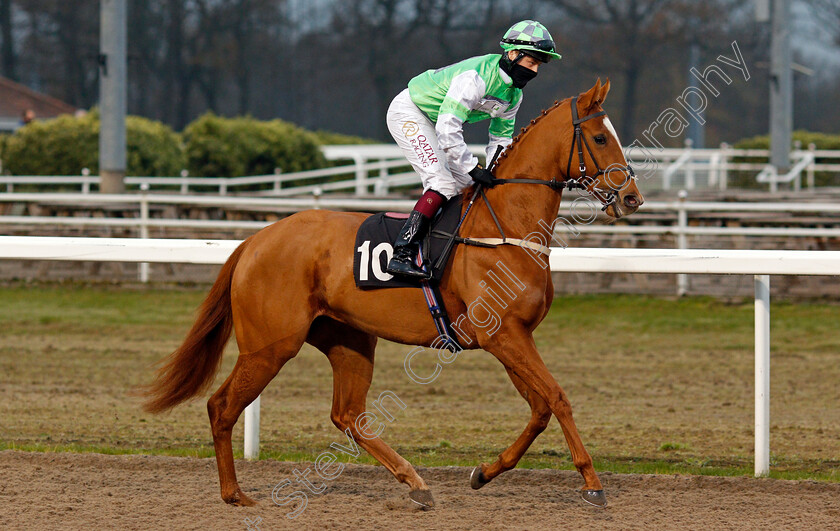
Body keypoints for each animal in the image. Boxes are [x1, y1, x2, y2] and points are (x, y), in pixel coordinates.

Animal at [144, 80, 644, 512]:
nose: (632, 198)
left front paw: (485, 472)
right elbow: (558, 397)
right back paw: (234, 493)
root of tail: (255, 240)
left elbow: (540, 407)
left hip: (348, 340)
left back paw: (415, 482)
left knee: (349, 415)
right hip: (270, 346)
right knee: (222, 406)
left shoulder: (512, 337)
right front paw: (593, 484)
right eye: (601, 137)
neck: (504, 225)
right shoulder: (504, 336)